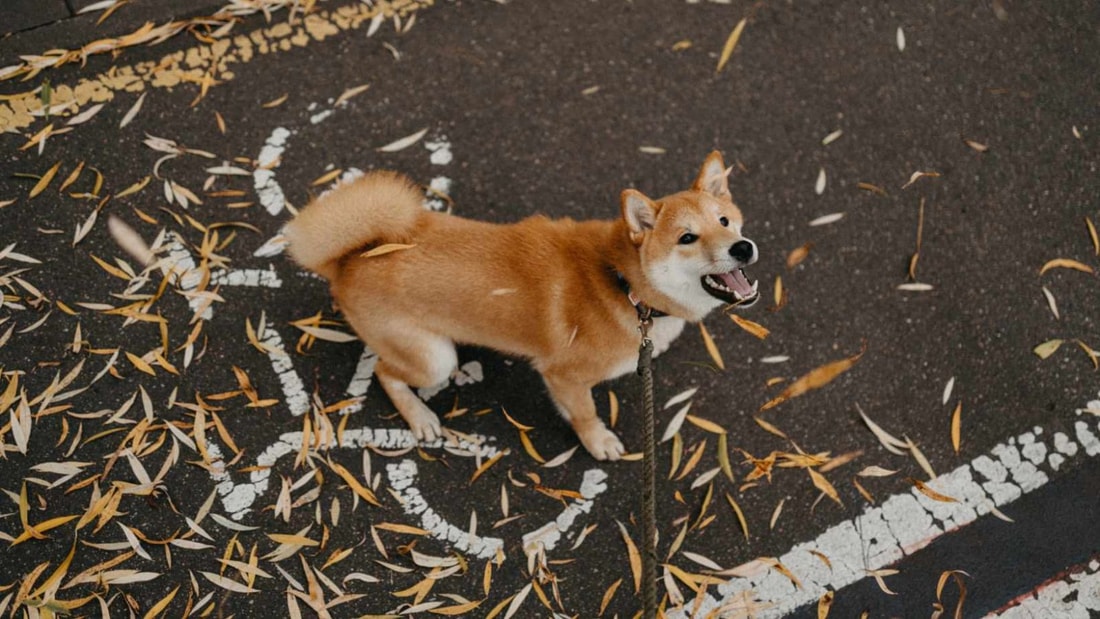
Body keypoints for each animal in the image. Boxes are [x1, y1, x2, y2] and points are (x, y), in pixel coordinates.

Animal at [286, 150, 756, 459]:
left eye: (725, 221)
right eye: (687, 238)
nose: (742, 248)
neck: (623, 283)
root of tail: (347, 261)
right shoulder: (565, 375)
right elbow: (586, 414)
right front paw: (598, 441)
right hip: (432, 358)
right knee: (387, 373)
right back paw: (419, 416)